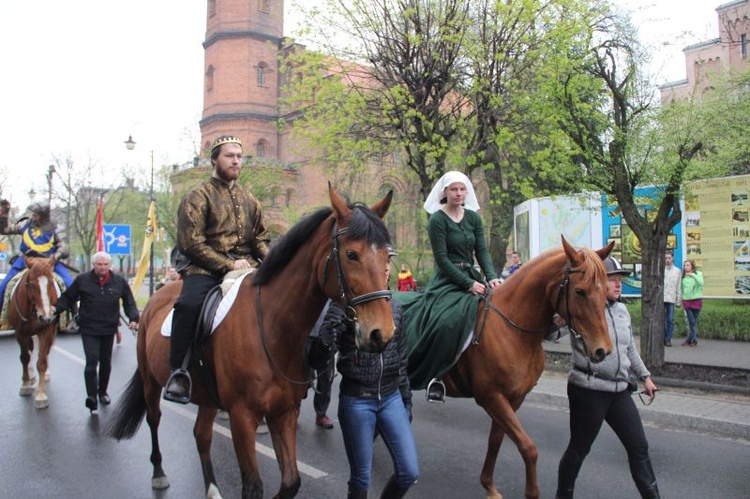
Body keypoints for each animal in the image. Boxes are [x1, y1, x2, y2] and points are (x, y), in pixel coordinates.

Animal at [9, 258, 60, 410]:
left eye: (51, 283)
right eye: (32, 285)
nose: (46, 317)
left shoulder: (46, 331)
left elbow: (42, 361)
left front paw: (41, 395)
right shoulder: (20, 334)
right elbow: (24, 358)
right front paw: (25, 384)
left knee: (45, 352)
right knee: (30, 351)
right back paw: (31, 377)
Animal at [109, 187, 400, 499]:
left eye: (388, 255)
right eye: (351, 254)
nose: (381, 333)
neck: (273, 328)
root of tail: (156, 297)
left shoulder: (284, 412)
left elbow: (291, 481)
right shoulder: (242, 416)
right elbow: (253, 486)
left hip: (206, 395)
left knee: (201, 435)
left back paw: (212, 489)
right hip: (151, 382)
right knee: (154, 419)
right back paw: (159, 474)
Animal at [438, 238, 612, 499]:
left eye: (605, 290)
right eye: (580, 291)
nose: (603, 350)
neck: (514, 330)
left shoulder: (512, 398)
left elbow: (496, 440)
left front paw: (489, 487)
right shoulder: (491, 397)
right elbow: (528, 447)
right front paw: (531, 492)